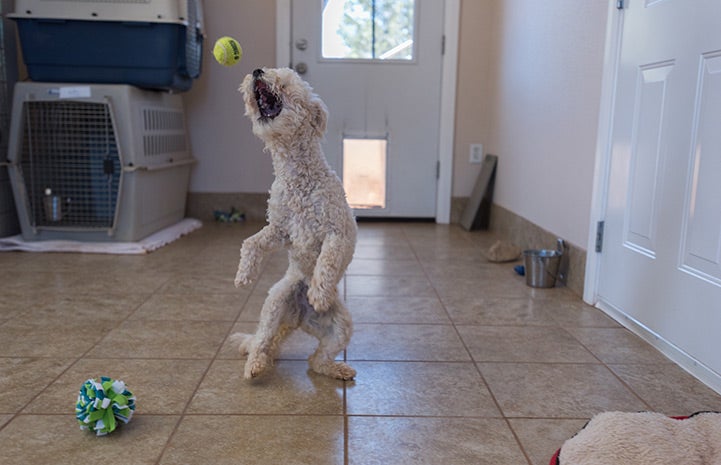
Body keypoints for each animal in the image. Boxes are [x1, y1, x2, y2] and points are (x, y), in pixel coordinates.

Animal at [232, 69, 356, 380]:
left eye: (286, 83)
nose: (257, 70)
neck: (297, 176)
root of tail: (298, 319)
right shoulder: (279, 229)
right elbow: (251, 242)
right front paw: (243, 275)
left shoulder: (336, 232)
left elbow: (327, 261)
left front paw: (319, 293)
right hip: (274, 305)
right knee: (262, 342)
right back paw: (255, 365)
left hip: (340, 326)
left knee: (317, 360)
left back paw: (337, 367)